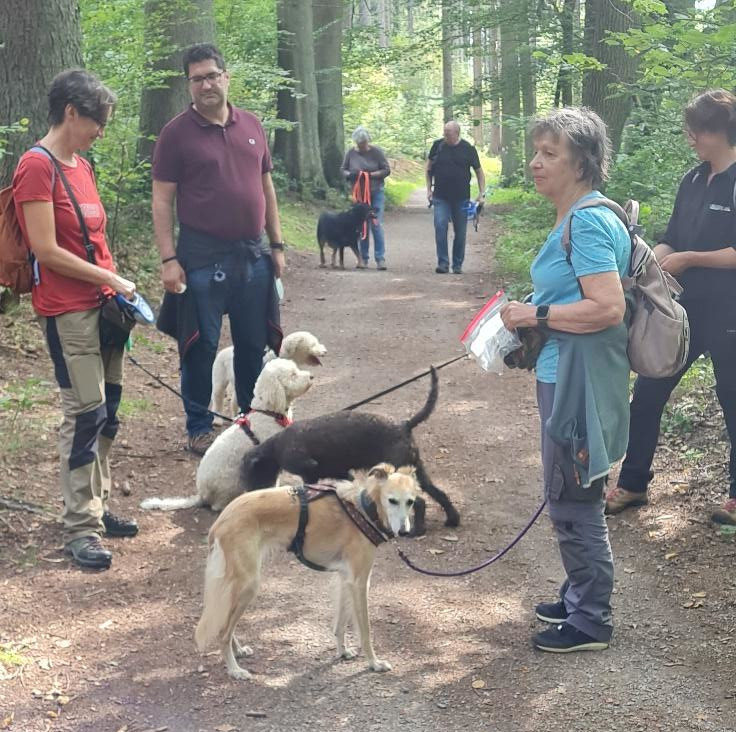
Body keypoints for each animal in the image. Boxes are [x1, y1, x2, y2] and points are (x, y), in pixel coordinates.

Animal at [141, 358, 314, 512]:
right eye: (293, 374)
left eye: (296, 369)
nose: (312, 376)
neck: (269, 412)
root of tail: (202, 495)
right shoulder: (268, 460)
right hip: (233, 481)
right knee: (217, 506)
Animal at [194, 464, 420, 680]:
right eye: (392, 500)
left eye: (410, 501)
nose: (404, 532)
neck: (365, 508)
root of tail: (219, 522)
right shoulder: (359, 581)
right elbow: (365, 630)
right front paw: (374, 663)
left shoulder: (345, 579)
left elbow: (340, 623)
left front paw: (342, 652)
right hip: (248, 584)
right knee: (223, 632)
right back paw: (235, 670)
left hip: (238, 585)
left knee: (225, 624)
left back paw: (238, 651)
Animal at [240, 368, 460, 536]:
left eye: (251, 473)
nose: (249, 494)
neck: (276, 446)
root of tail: (405, 425)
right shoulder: (341, 473)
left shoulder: (309, 471)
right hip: (416, 470)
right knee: (438, 494)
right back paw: (452, 519)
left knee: (420, 501)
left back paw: (416, 531)